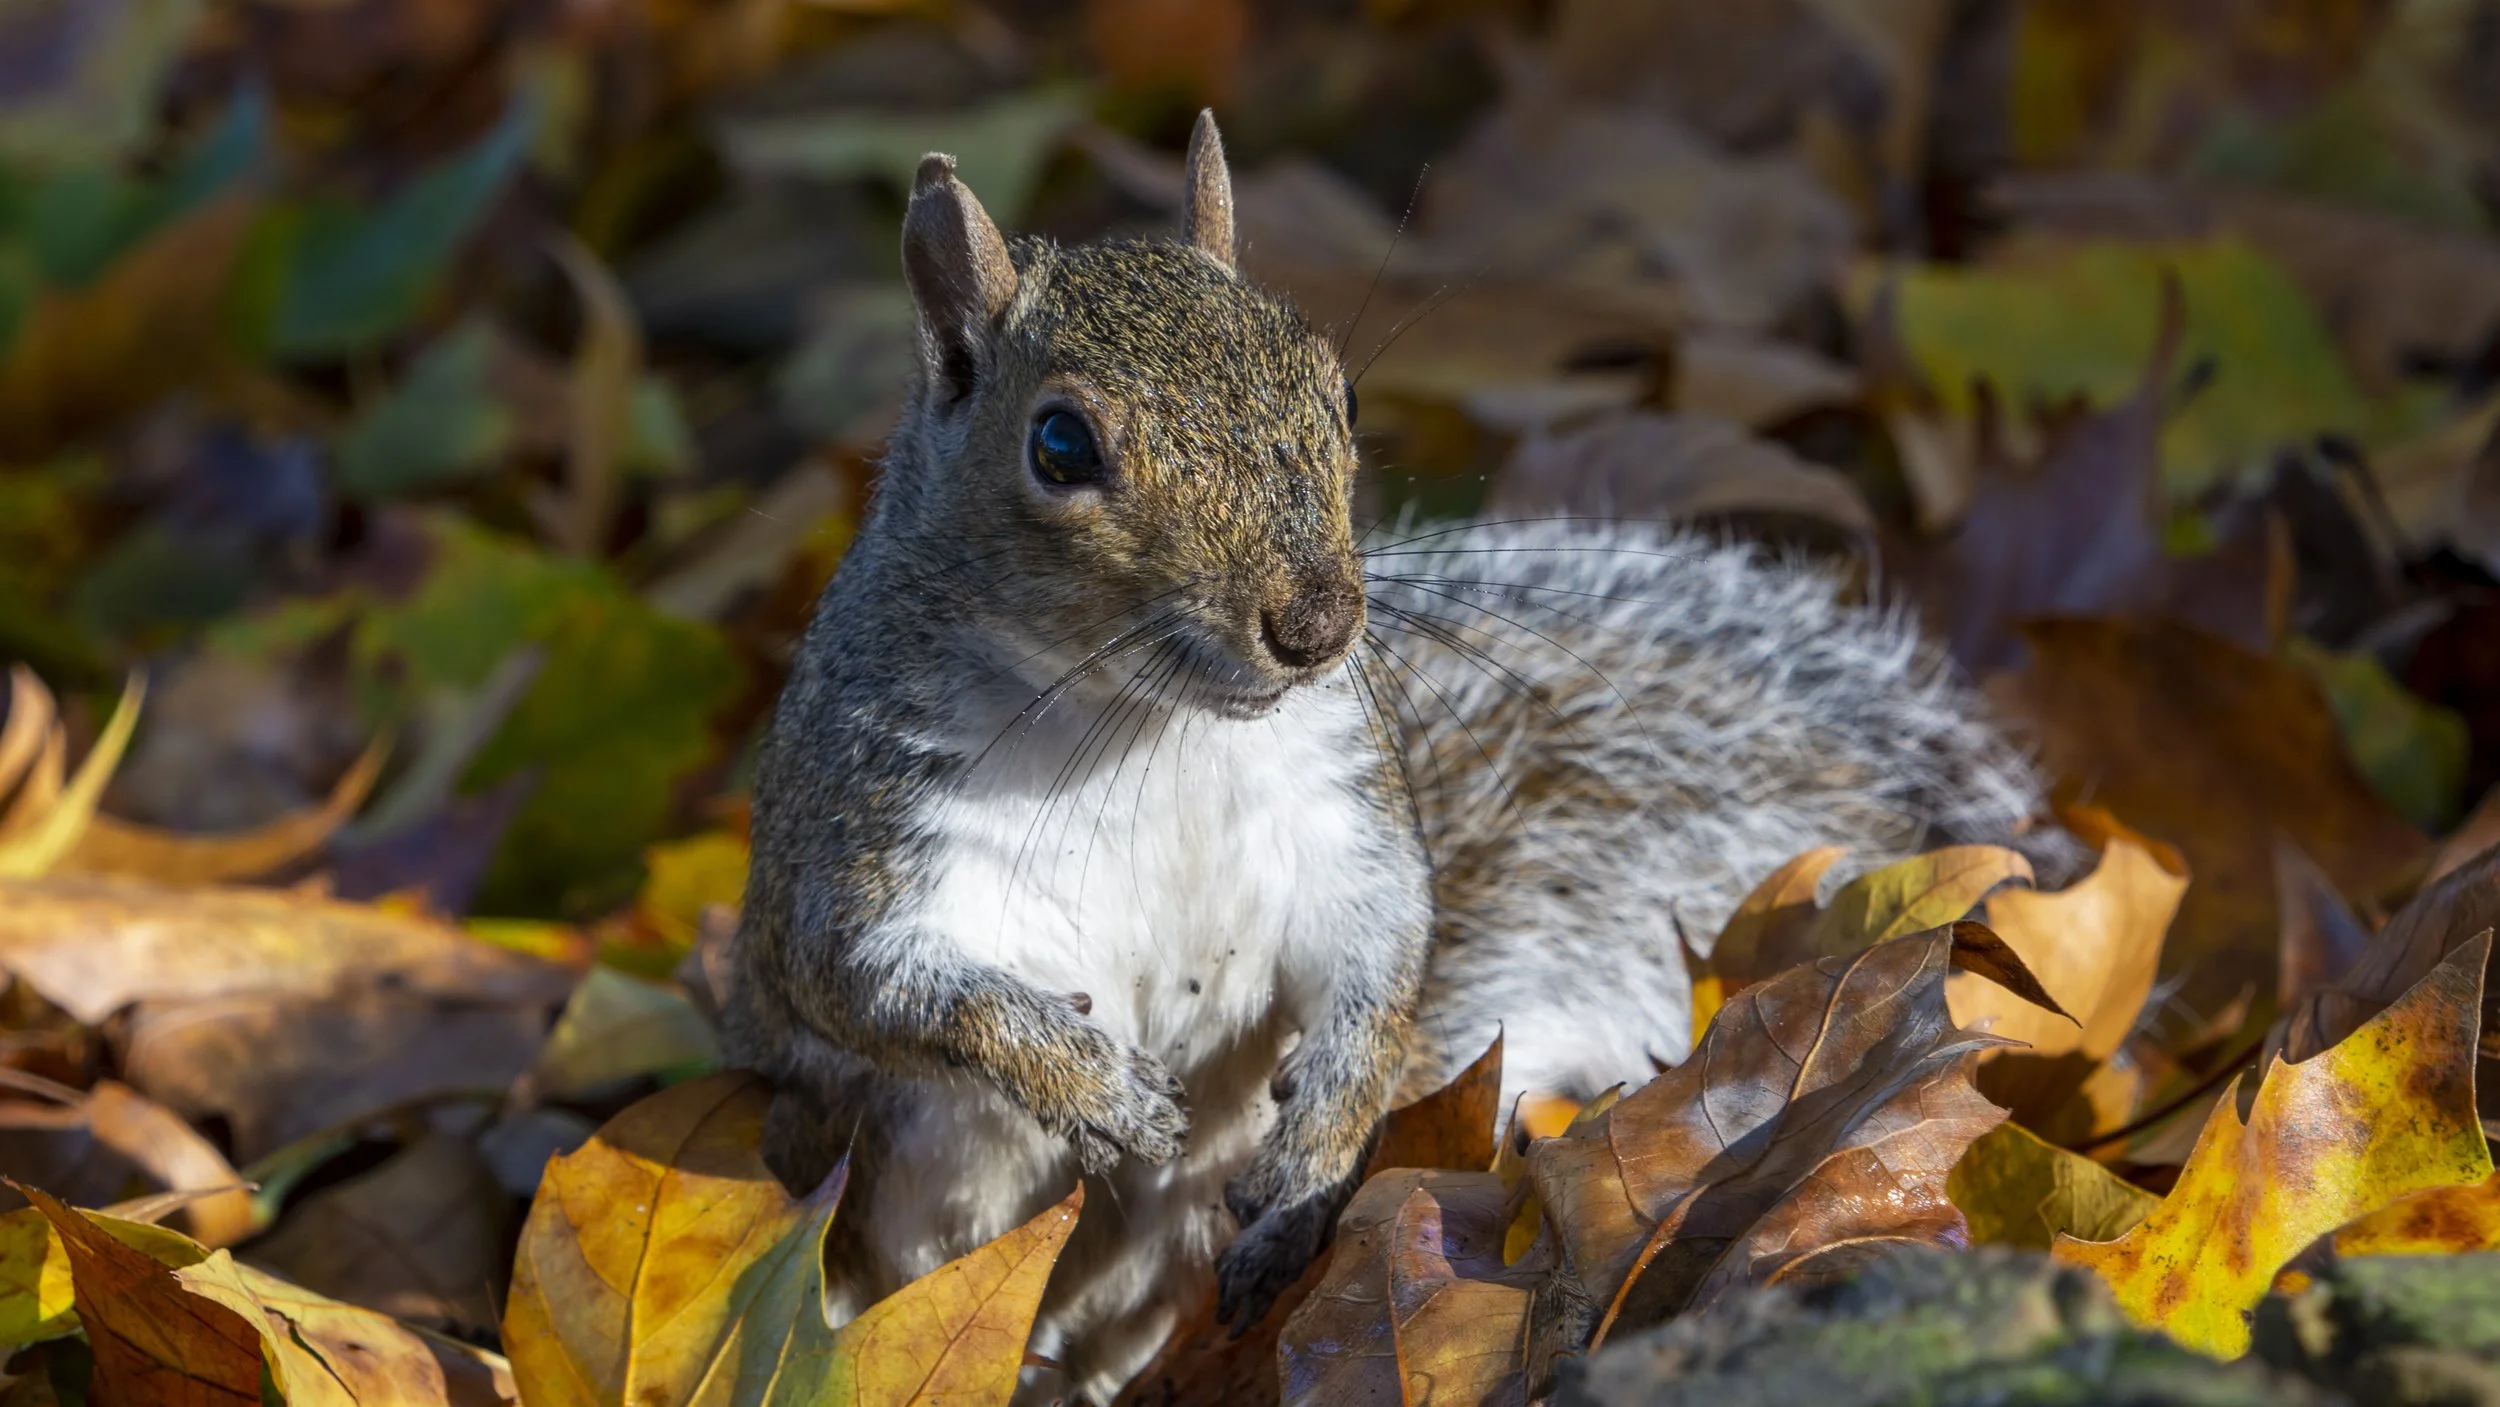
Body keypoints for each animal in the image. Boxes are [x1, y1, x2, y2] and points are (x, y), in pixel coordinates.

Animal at [721, 112, 2063, 1401]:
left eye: (1340, 396)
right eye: (1057, 446)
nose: (1317, 625)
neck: (1144, 733)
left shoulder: (1337, 813)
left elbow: (1381, 950)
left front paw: (1325, 1125)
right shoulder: (862, 829)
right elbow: (877, 985)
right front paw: (1086, 1083)